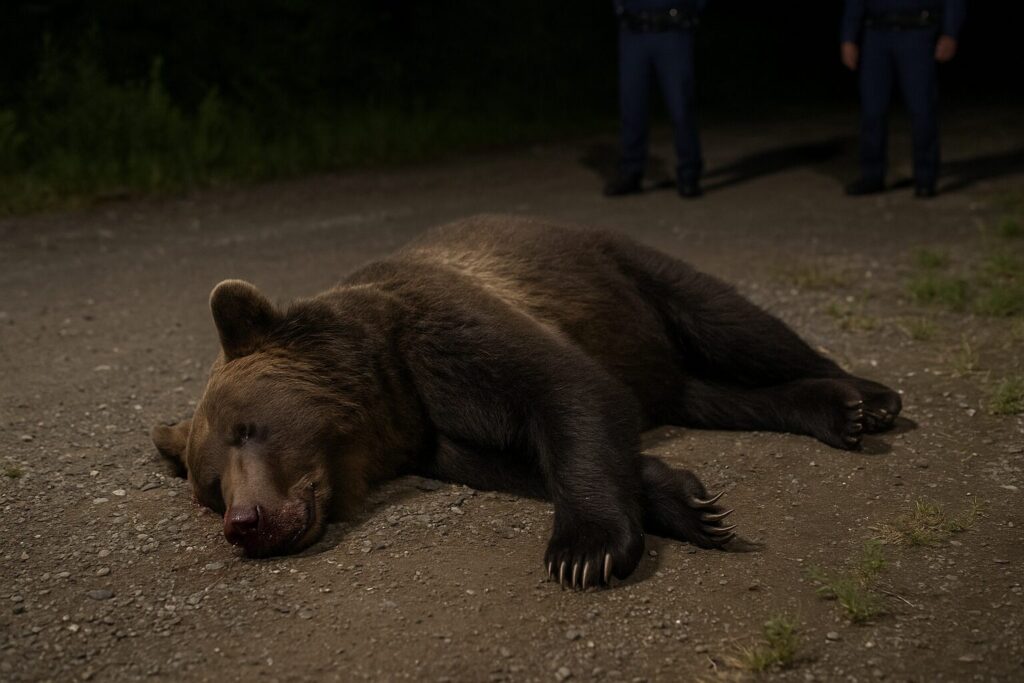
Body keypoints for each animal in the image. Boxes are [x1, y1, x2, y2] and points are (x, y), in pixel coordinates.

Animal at [152, 214, 902, 589]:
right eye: (211, 488)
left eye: (251, 428)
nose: (245, 521)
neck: (393, 393)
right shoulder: (438, 435)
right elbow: (528, 457)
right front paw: (686, 500)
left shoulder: (450, 332)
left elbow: (567, 394)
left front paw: (584, 550)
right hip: (656, 361)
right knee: (712, 395)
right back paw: (828, 408)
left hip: (625, 270)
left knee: (734, 323)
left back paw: (868, 398)